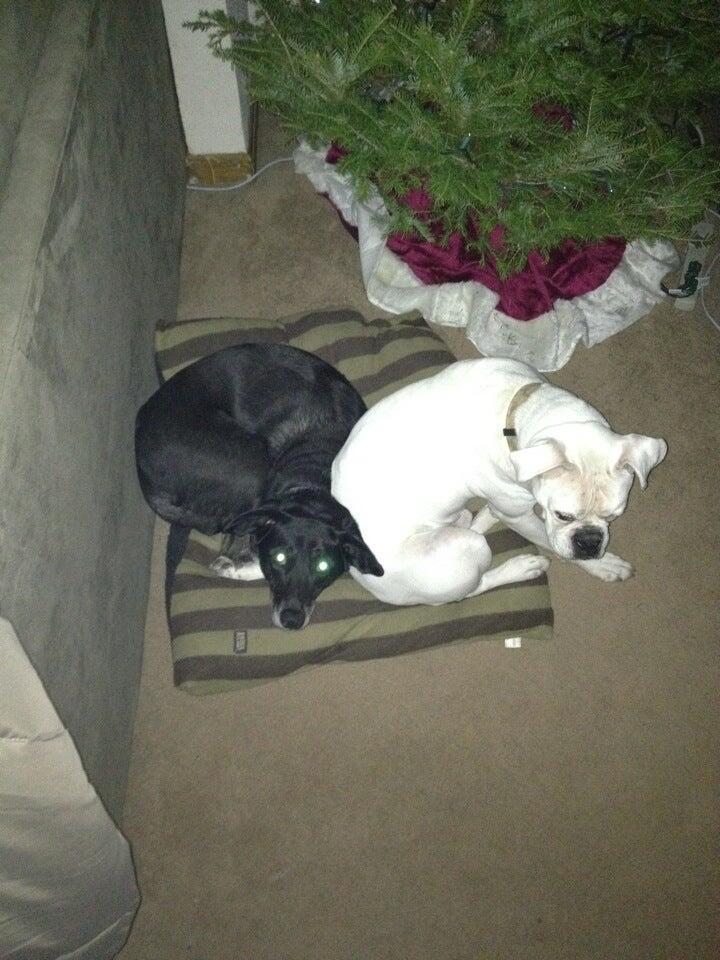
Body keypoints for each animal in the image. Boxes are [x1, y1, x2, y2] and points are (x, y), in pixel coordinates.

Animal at [135, 343, 383, 629]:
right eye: (279, 558)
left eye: (323, 566)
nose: (292, 620)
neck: (314, 479)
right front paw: (235, 567)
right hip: (252, 461)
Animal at [331, 357, 667, 606]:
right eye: (563, 515)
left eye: (613, 516)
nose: (589, 543)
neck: (516, 411)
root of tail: (356, 572)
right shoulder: (521, 516)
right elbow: (549, 540)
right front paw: (602, 565)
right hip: (467, 552)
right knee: (471, 589)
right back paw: (521, 567)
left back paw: (471, 517)